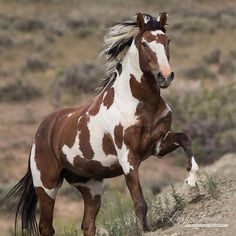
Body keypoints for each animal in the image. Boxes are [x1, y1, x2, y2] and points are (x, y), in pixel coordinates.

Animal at [2, 12, 199, 236]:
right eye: (145, 43)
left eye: (167, 41)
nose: (165, 76)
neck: (137, 103)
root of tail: (40, 133)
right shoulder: (128, 158)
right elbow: (140, 204)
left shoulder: (158, 145)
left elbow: (185, 139)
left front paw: (192, 179)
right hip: (47, 186)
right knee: (46, 227)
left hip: (90, 186)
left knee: (88, 224)